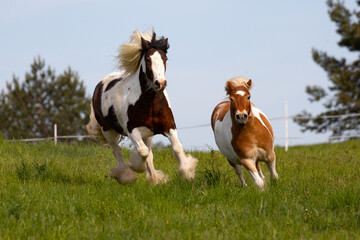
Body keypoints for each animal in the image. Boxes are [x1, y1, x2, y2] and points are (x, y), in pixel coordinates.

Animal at [88, 29, 200, 184]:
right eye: (148, 59)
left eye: (165, 59)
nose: (160, 83)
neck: (150, 102)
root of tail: (100, 84)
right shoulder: (132, 130)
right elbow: (142, 152)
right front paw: (137, 166)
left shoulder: (169, 126)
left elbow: (176, 147)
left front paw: (187, 172)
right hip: (107, 130)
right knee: (117, 151)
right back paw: (127, 175)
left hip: (147, 134)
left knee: (148, 151)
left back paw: (154, 178)